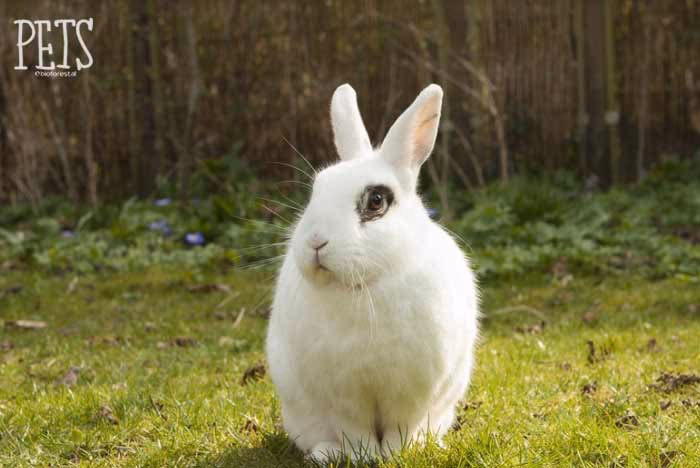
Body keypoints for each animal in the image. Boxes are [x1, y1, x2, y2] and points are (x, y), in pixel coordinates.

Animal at [266, 83, 479, 462]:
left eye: (376, 201)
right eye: (316, 190)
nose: (316, 241)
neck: (365, 286)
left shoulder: (412, 393)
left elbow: (402, 427)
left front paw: (398, 454)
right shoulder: (343, 396)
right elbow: (355, 430)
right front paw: (363, 456)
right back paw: (325, 454)